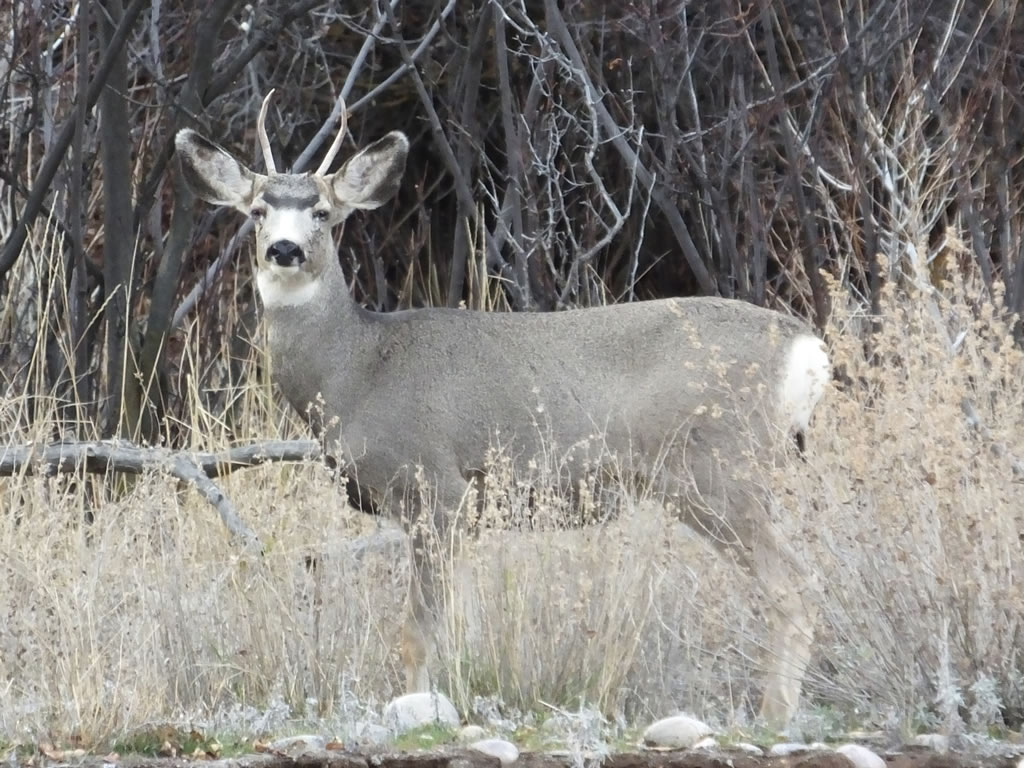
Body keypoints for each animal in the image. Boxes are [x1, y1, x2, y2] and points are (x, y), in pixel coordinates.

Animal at [175, 90, 831, 727]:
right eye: (257, 211)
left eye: (322, 213)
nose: (284, 250)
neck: (358, 371)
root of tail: (809, 350)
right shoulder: (464, 513)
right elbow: (458, 627)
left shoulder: (435, 487)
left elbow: (417, 632)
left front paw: (421, 711)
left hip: (717, 468)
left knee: (797, 585)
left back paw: (773, 719)